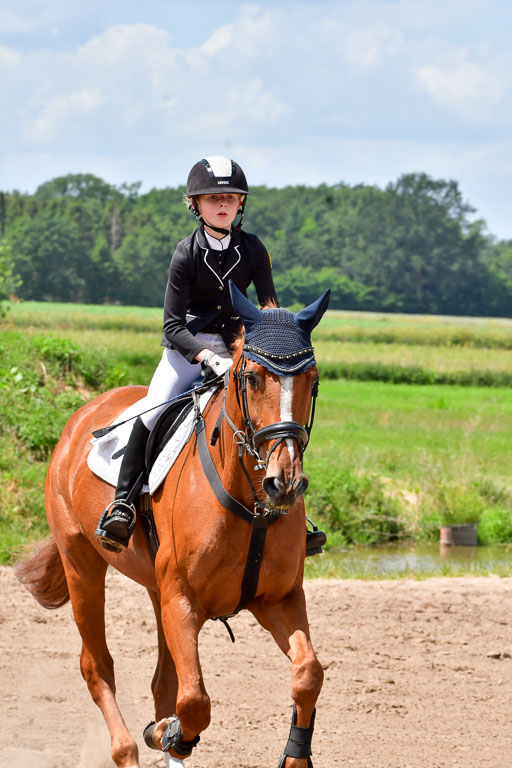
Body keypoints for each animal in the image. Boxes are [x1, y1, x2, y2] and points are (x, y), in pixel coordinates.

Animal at [16, 284, 330, 768]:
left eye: (312, 380)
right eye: (251, 377)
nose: (284, 484)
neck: (251, 504)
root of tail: (82, 414)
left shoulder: (278, 599)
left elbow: (308, 673)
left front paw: (296, 755)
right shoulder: (182, 600)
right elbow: (195, 701)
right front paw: (173, 733)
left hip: (154, 586)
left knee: (162, 679)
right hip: (81, 563)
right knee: (97, 665)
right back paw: (129, 747)